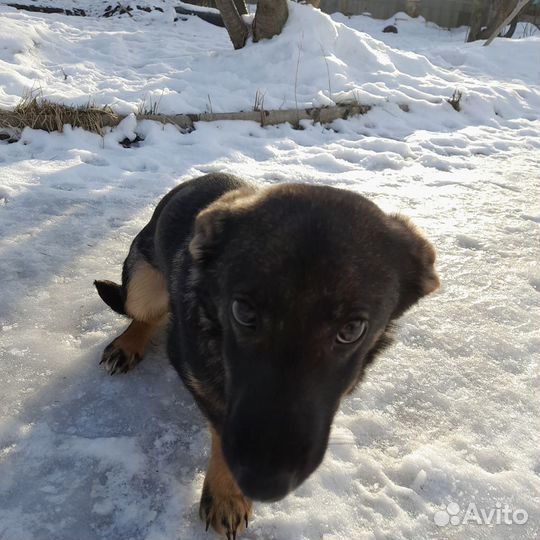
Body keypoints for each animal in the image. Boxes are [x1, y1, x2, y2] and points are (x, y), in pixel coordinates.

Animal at [94, 174, 438, 540]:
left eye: (353, 329)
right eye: (243, 311)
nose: (264, 484)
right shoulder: (199, 379)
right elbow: (221, 431)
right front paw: (226, 495)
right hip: (142, 287)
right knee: (144, 314)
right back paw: (127, 344)